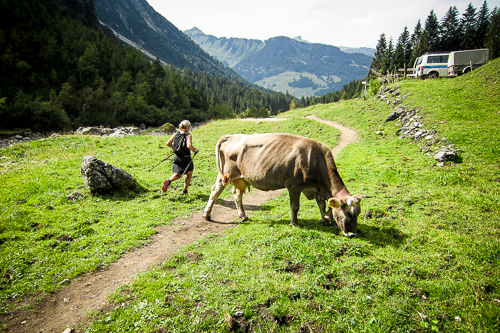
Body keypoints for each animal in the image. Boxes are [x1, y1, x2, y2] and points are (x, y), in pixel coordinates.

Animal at [203, 132, 364, 236]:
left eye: (358, 214)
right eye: (349, 214)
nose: (352, 234)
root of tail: (232, 136)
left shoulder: (317, 188)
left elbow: (321, 205)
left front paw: (324, 220)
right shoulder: (294, 185)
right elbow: (295, 206)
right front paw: (294, 223)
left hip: (241, 178)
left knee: (237, 195)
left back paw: (243, 216)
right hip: (225, 175)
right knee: (215, 191)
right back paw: (207, 214)